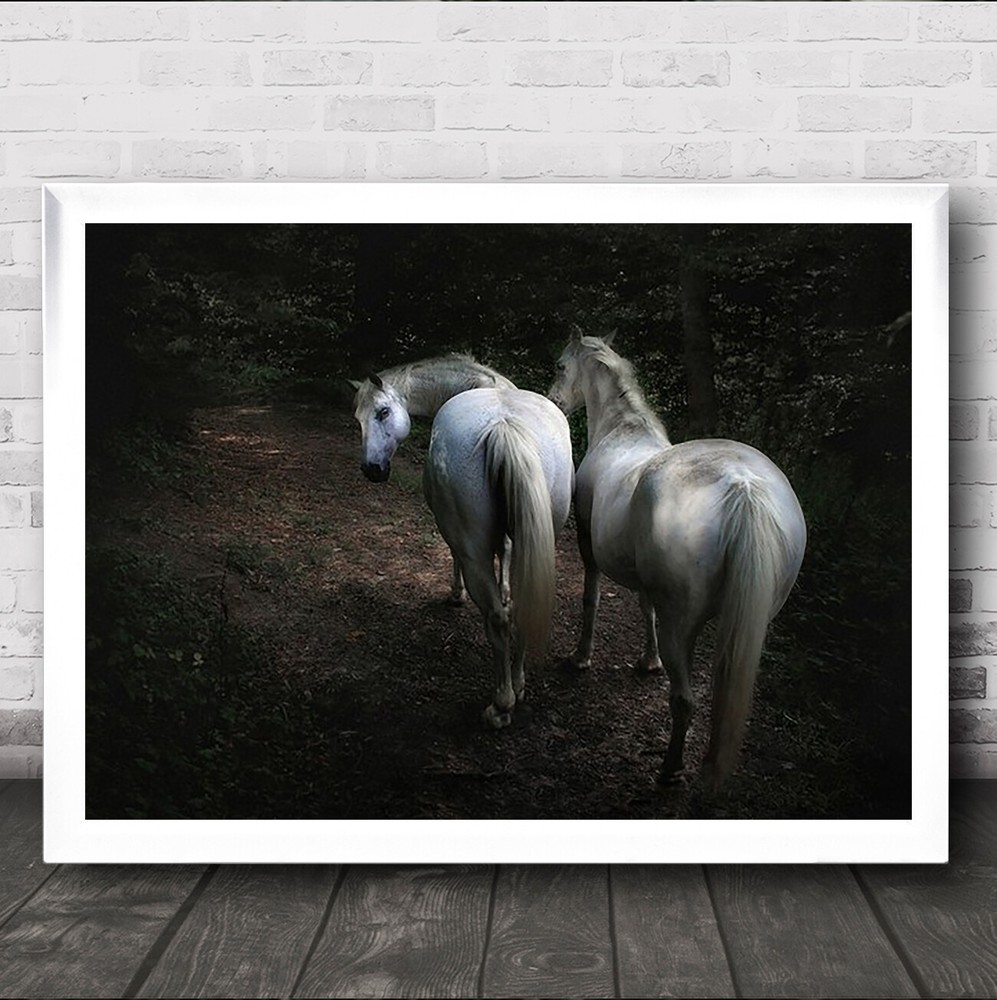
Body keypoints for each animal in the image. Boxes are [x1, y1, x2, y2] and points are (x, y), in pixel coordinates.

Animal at [423, 387, 573, 728]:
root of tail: (505, 426)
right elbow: (505, 551)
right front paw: (504, 590)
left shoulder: (457, 538)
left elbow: (457, 556)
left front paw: (456, 594)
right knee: (523, 607)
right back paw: (518, 685)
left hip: (473, 550)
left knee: (497, 618)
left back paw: (501, 706)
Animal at [548, 332, 806, 789]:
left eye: (561, 365)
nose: (553, 400)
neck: (621, 433)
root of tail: (743, 485)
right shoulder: (648, 584)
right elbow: (644, 608)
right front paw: (648, 662)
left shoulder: (586, 544)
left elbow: (590, 600)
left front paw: (581, 657)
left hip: (681, 624)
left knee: (683, 700)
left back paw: (670, 768)